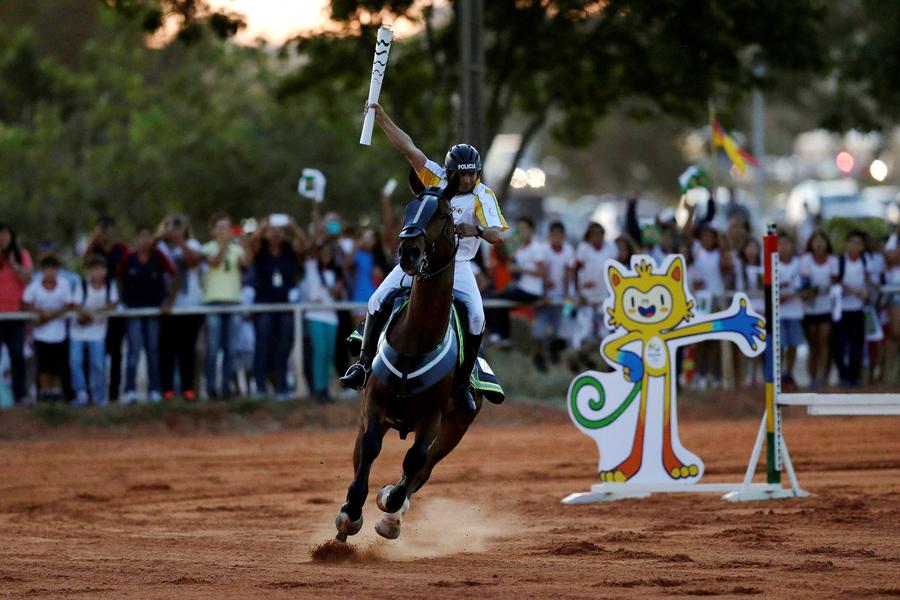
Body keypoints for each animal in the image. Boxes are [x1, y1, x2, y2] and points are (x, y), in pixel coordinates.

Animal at [334, 171, 482, 540]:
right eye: (408, 209)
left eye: (443, 214)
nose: (408, 250)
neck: (416, 341)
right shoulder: (373, 406)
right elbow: (370, 447)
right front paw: (350, 512)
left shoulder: (433, 419)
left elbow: (414, 461)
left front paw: (389, 503)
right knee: (362, 453)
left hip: (457, 425)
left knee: (425, 467)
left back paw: (393, 516)